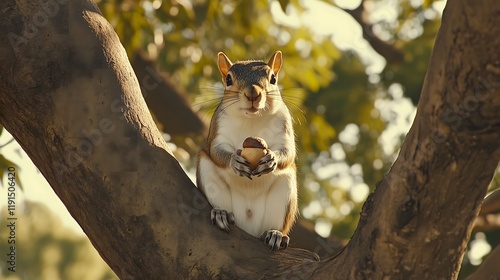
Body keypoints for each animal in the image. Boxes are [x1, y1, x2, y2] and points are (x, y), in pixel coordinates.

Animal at [195, 51, 296, 250]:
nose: (253, 93)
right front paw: (234, 161)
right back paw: (222, 213)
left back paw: (275, 234)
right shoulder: (218, 128)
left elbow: (288, 151)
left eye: (273, 78)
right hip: (208, 173)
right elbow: (216, 150)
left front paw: (272, 159)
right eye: (228, 79)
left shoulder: (284, 126)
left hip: (285, 188)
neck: (252, 118)